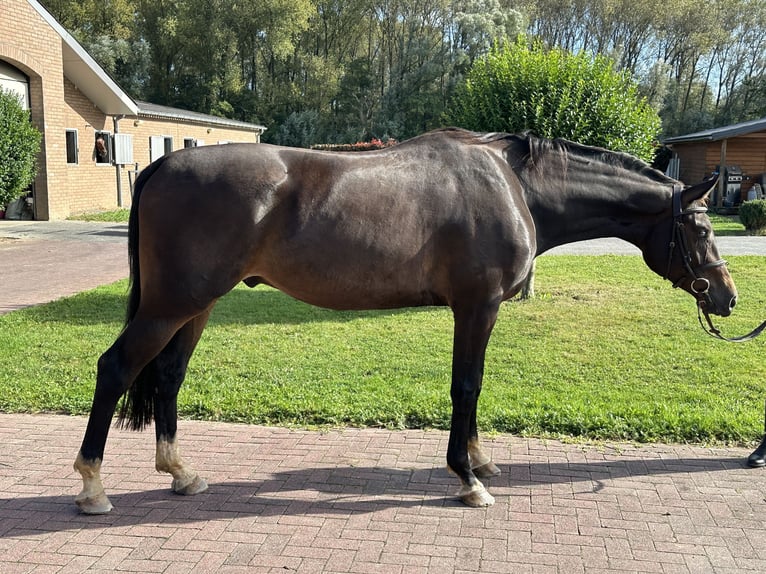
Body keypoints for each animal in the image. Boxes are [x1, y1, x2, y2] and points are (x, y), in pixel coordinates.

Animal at [75, 128, 740, 516]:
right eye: (701, 226)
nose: (727, 297)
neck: (513, 185)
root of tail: (161, 168)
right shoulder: (478, 304)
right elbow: (466, 385)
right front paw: (468, 479)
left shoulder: (479, 310)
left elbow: (474, 388)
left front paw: (480, 460)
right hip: (171, 305)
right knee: (115, 369)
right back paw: (92, 487)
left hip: (196, 306)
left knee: (166, 376)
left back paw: (181, 474)